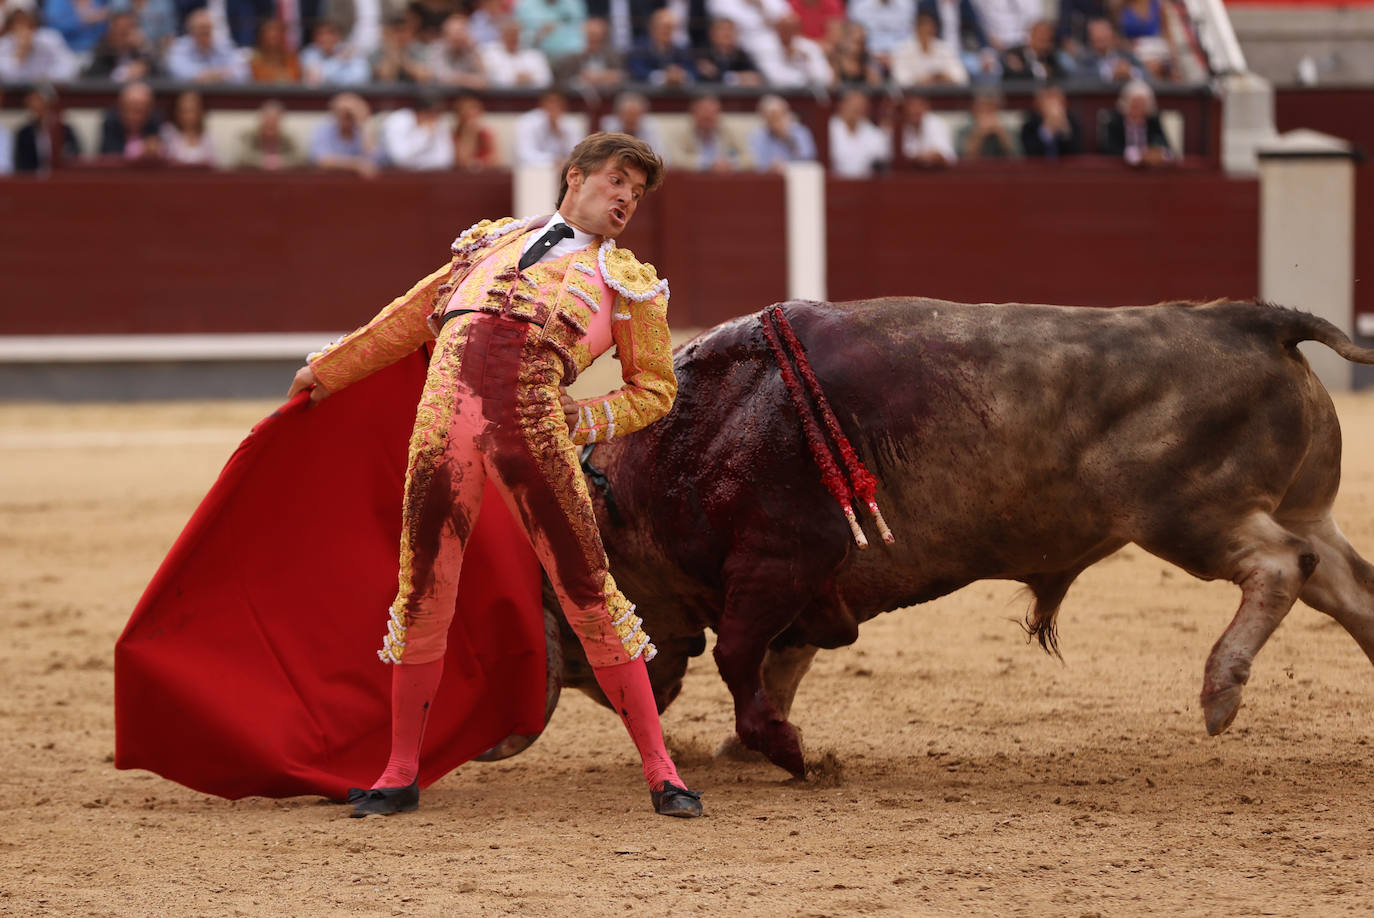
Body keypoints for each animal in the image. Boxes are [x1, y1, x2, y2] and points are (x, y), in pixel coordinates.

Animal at [538, 299, 1374, 775]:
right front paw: (755, 744)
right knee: (1350, 586)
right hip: (1301, 506)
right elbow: (780, 663)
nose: (620, 697)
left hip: (1185, 513)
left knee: (1283, 565)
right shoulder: (805, 593)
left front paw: (789, 752)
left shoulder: (779, 563)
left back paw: (1219, 691)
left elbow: (744, 659)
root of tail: (1246, 317)